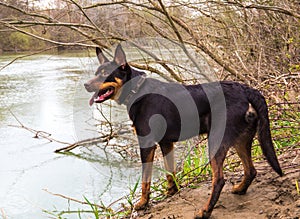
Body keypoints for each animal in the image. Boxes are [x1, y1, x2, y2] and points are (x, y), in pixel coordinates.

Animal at [84, 44, 284, 217]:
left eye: (105, 74)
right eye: (95, 73)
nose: (86, 85)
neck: (137, 90)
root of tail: (246, 89)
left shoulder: (147, 144)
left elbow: (145, 180)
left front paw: (142, 203)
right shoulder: (166, 143)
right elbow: (170, 172)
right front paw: (172, 191)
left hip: (216, 141)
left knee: (219, 179)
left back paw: (205, 211)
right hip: (241, 139)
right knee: (251, 170)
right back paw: (240, 189)